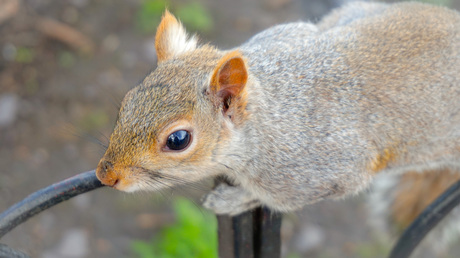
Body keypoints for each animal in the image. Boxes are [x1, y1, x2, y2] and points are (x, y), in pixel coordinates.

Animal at [94, 1, 460, 216]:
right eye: (126, 102)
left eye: (178, 140)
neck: (269, 119)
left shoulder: (325, 171)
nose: (106, 175)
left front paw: (233, 200)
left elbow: (278, 199)